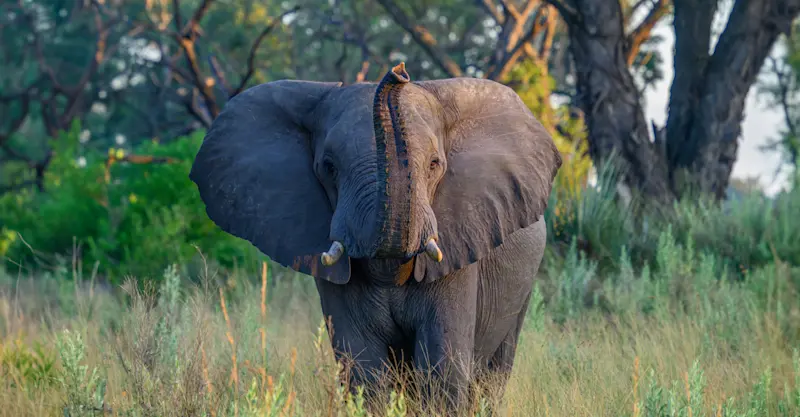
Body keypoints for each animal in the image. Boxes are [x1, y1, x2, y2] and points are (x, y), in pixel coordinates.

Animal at [189, 63, 562, 412]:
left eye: (435, 164)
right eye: (328, 167)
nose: (398, 72)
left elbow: (442, 366)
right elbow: (363, 367)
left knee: (492, 375)